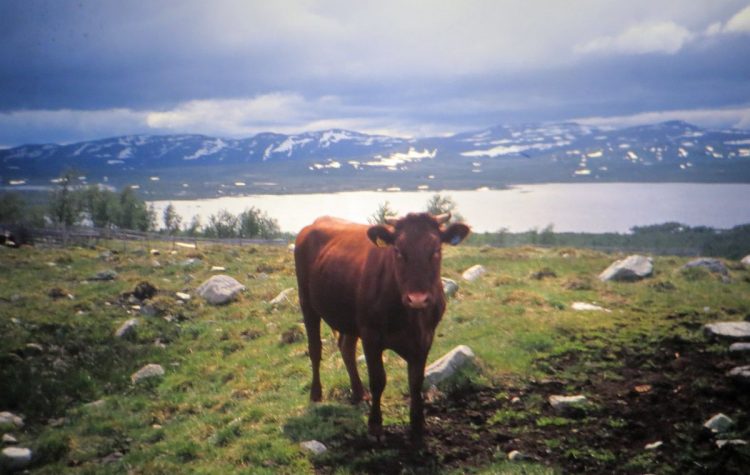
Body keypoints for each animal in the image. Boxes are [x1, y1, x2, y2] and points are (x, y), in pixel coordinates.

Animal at [294, 212, 470, 442]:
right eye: (398, 251)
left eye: (436, 250)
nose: (418, 299)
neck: (410, 318)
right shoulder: (371, 336)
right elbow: (378, 380)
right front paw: (375, 425)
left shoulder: (425, 338)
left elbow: (416, 381)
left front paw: (418, 425)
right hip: (307, 303)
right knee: (315, 349)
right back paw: (316, 394)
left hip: (350, 319)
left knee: (346, 348)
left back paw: (359, 393)